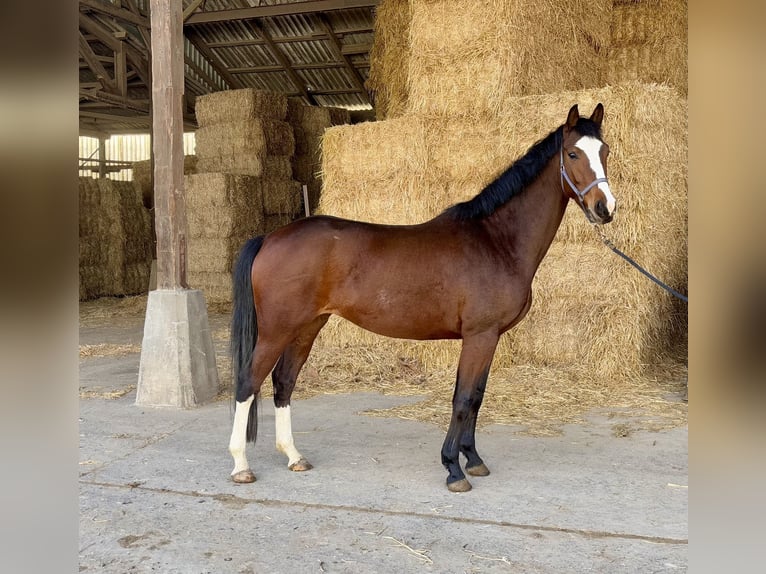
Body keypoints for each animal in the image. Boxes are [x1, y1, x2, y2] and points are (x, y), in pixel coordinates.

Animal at [228, 104, 616, 496]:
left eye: (605, 151)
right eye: (573, 154)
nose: (605, 208)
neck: (496, 240)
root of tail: (270, 237)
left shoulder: (489, 338)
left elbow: (477, 397)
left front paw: (473, 459)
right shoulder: (479, 336)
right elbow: (463, 399)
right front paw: (453, 468)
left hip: (307, 327)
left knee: (283, 382)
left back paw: (294, 456)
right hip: (276, 330)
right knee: (248, 382)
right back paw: (241, 465)